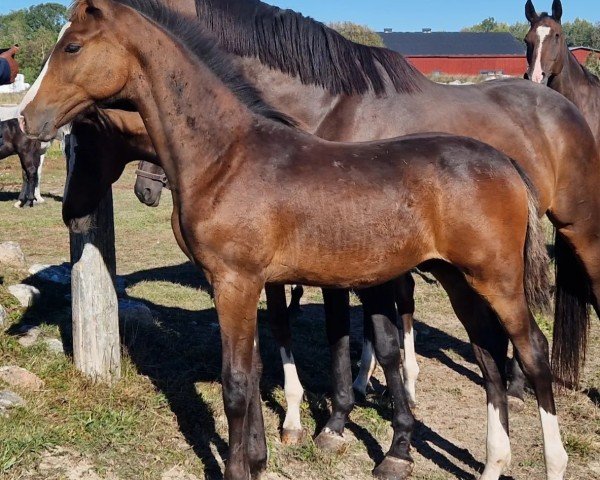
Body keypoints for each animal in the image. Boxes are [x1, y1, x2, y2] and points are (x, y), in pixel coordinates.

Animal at [19, 1, 572, 478]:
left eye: (72, 47)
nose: (26, 118)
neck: (224, 156)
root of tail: (506, 162)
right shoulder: (246, 284)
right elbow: (256, 365)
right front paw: (262, 456)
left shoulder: (236, 281)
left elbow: (236, 383)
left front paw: (240, 468)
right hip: (458, 279)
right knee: (489, 357)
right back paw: (493, 465)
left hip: (498, 279)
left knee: (532, 352)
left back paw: (552, 463)